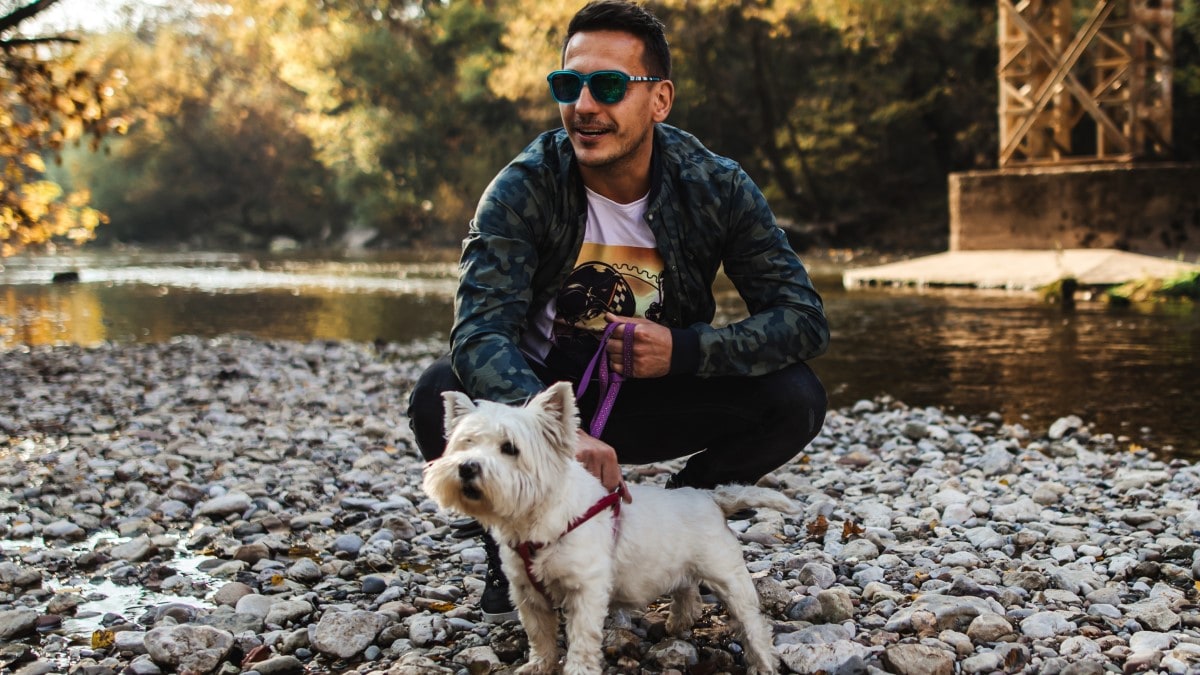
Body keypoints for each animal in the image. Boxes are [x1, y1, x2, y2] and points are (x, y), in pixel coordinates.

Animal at [422, 381, 796, 667]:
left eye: (509, 448)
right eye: (466, 443)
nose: (466, 467)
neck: (536, 521)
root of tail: (710, 498)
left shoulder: (585, 590)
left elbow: (581, 640)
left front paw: (576, 669)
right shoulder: (528, 595)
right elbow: (540, 636)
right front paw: (539, 666)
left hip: (727, 575)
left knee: (751, 623)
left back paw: (762, 662)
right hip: (681, 565)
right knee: (687, 591)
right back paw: (678, 622)